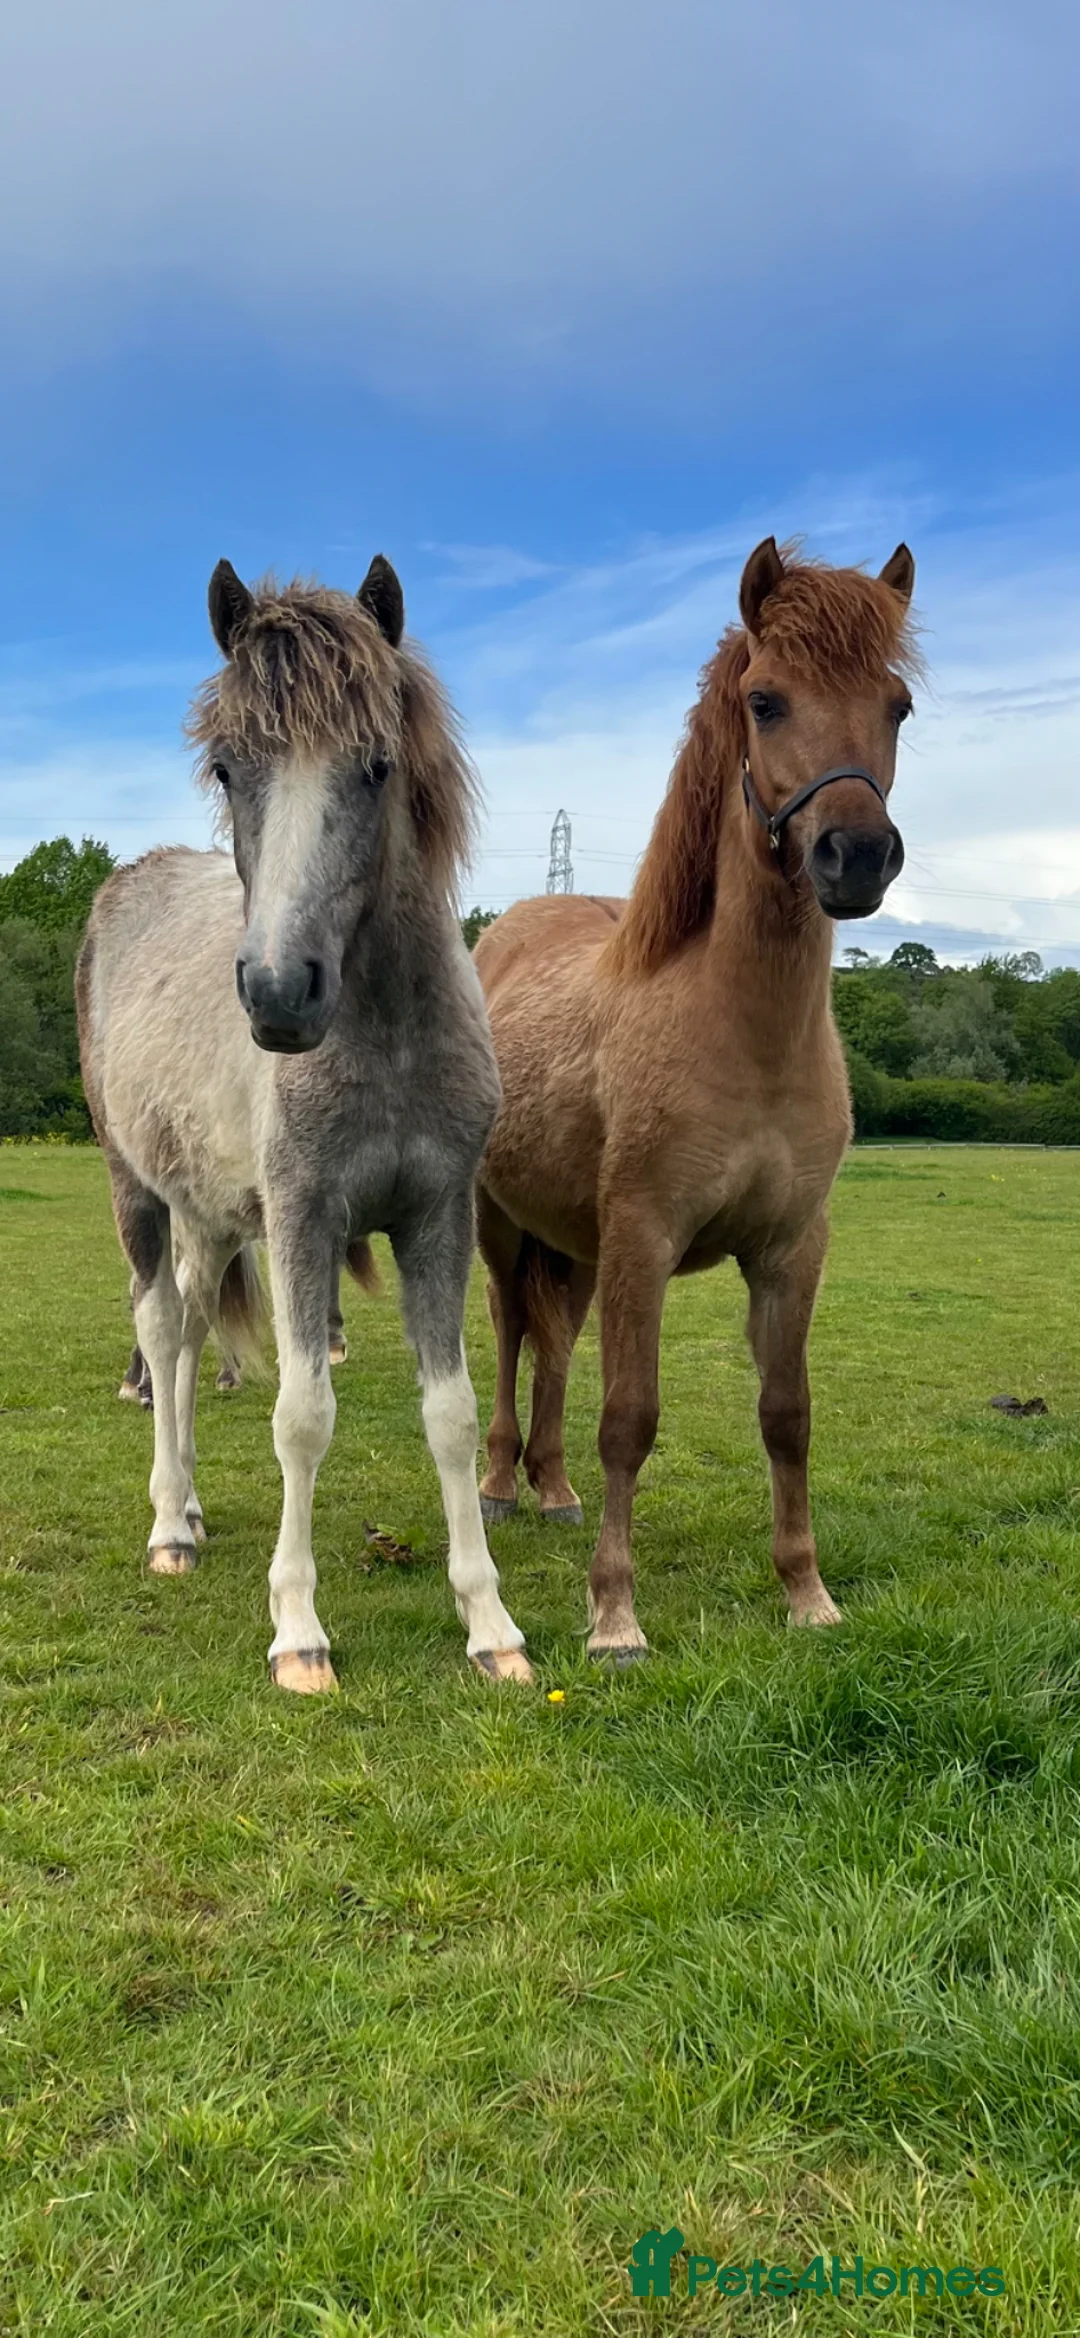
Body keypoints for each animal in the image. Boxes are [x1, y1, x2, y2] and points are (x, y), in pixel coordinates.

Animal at [77, 554, 529, 1692]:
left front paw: (490, 1623)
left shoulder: (437, 1218)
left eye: (376, 765)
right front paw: (298, 1629)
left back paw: (192, 1505)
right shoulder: (300, 1217)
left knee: (193, 1333)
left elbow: (452, 1415)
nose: (280, 993)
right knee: (159, 1325)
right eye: (228, 769)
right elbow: (303, 1415)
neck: (386, 1039)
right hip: (138, 1191)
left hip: (208, 1213)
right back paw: (169, 1526)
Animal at [473, 536, 917, 1661]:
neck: (740, 1032)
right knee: (508, 1331)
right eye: (765, 700)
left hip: (577, 1246)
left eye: (897, 705)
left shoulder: (791, 1247)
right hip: (500, 1227)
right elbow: (630, 1418)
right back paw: (498, 1482)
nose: (856, 855)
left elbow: (787, 1414)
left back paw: (552, 1490)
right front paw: (614, 1616)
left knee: (554, 1347)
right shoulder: (645, 1237)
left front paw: (807, 1592)